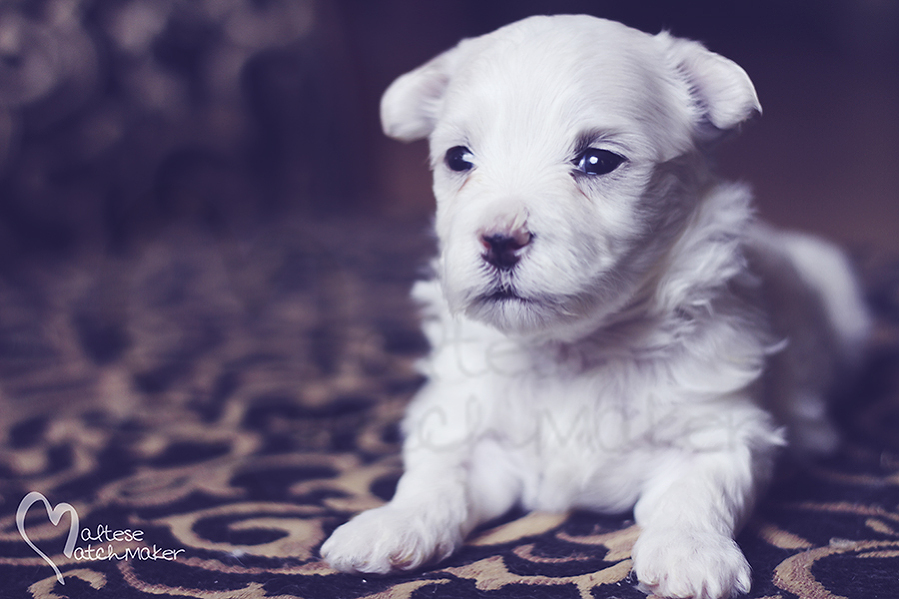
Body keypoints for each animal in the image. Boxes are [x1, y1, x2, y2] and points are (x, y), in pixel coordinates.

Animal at [318, 14, 872, 599]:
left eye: (597, 161)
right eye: (458, 159)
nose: (500, 238)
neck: (575, 348)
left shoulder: (722, 430)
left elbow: (701, 491)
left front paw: (691, 553)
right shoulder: (465, 425)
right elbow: (434, 474)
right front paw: (390, 523)